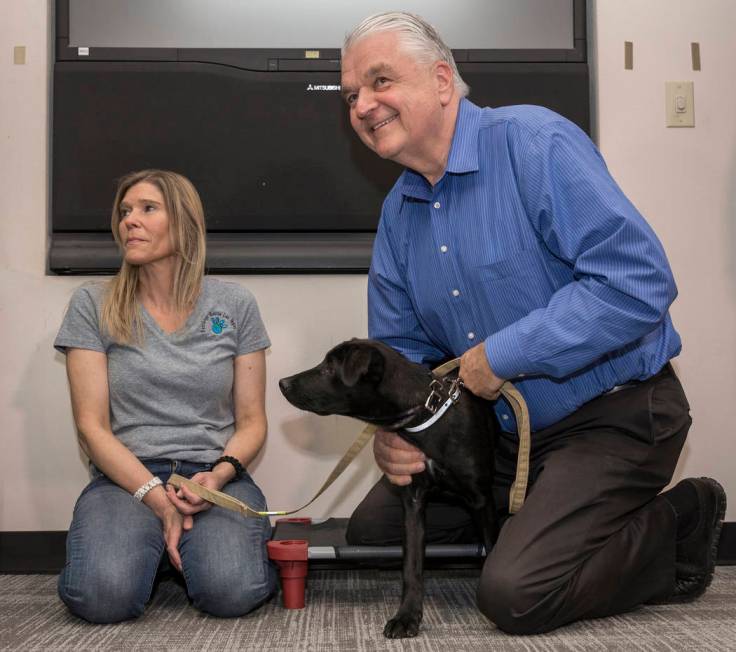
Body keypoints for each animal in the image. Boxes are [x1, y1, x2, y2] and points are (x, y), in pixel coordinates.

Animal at [278, 338, 498, 640]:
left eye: (330, 368)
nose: (282, 382)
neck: (428, 414)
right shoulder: (413, 503)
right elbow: (412, 567)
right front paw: (407, 616)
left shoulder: (481, 500)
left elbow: (492, 550)